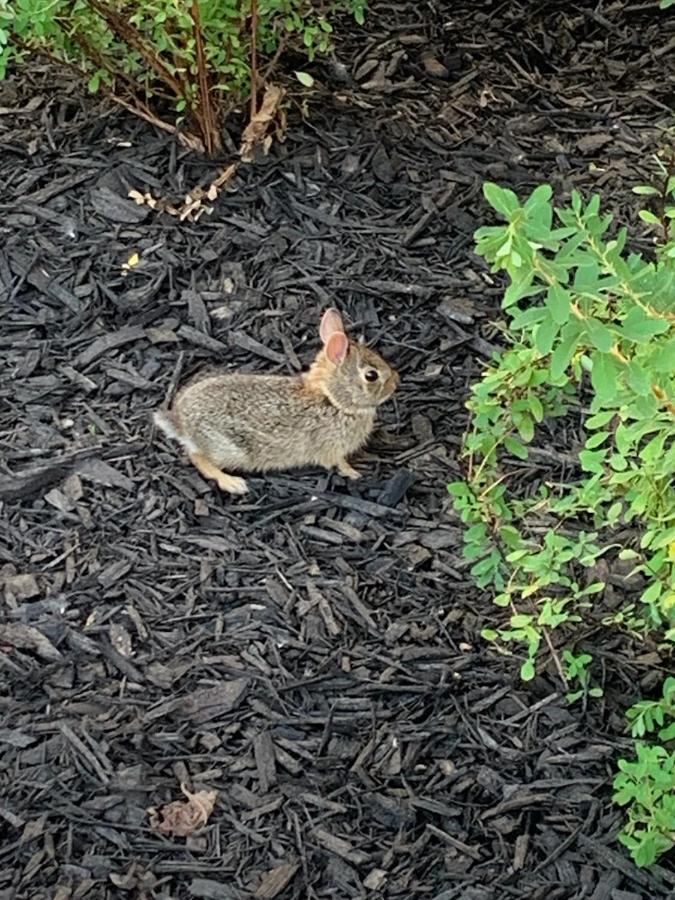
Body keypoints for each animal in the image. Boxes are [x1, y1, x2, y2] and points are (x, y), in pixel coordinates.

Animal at [153, 308, 398, 492]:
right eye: (371, 375)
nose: (396, 381)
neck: (332, 399)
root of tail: (180, 423)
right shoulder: (331, 448)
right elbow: (338, 463)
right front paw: (354, 473)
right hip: (229, 448)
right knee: (198, 458)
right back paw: (233, 483)